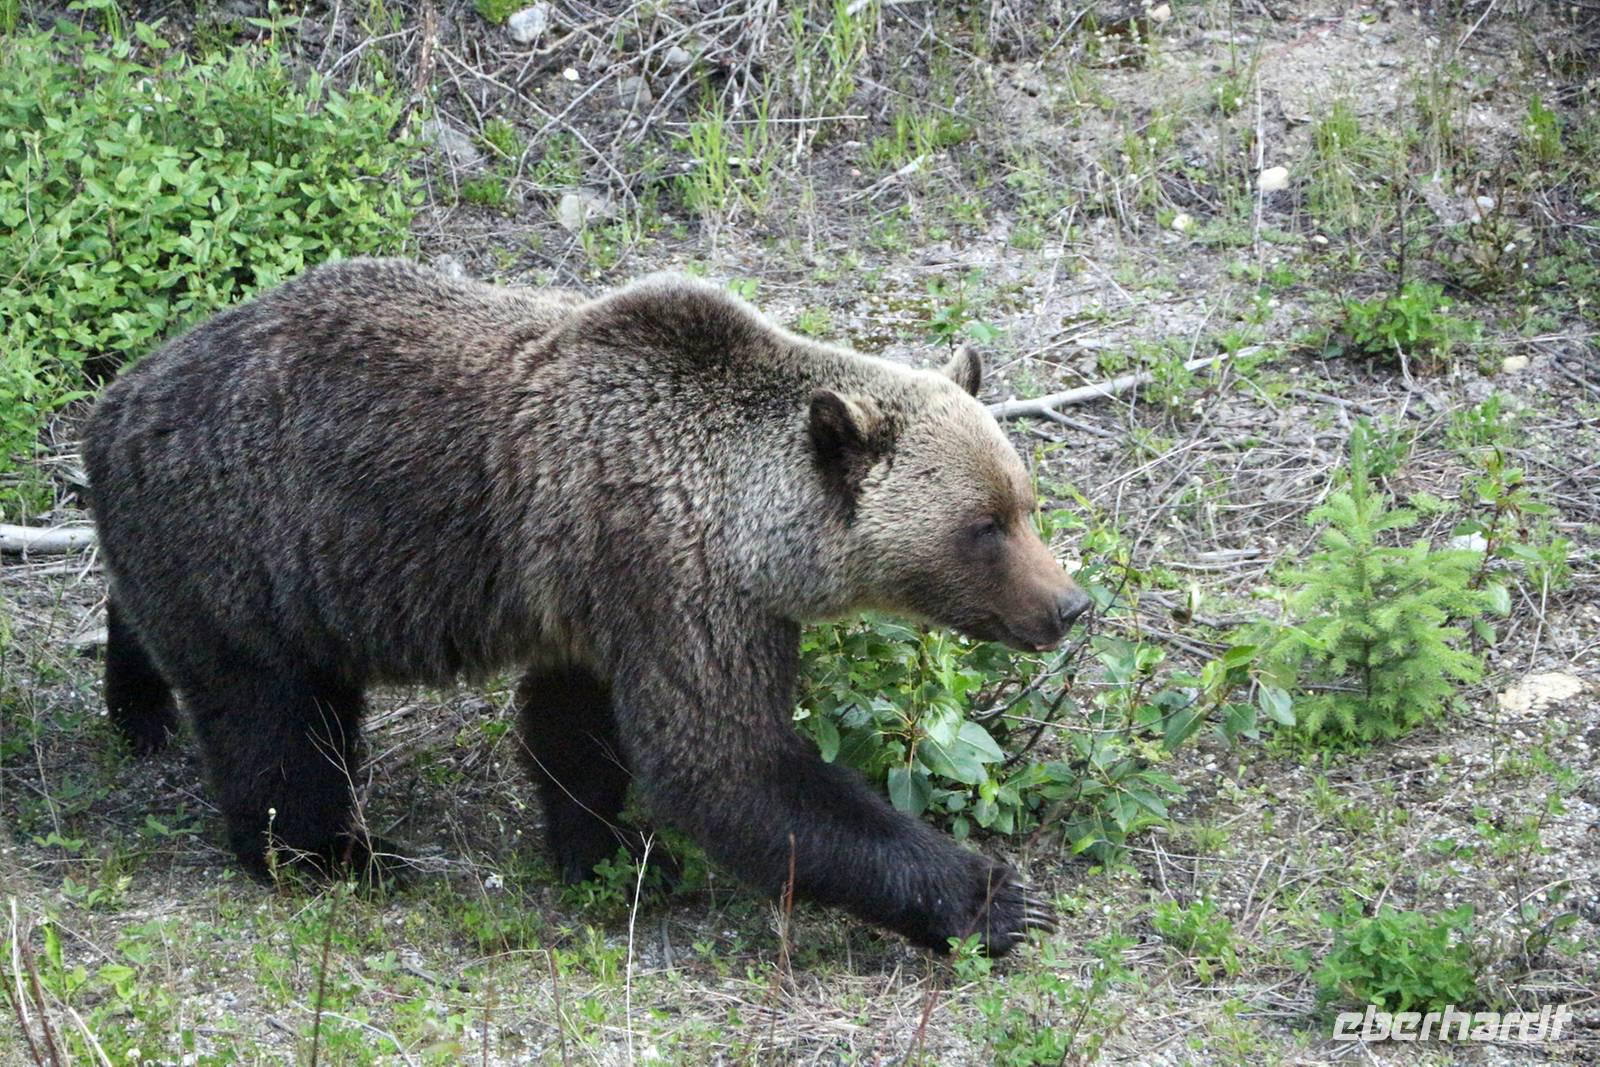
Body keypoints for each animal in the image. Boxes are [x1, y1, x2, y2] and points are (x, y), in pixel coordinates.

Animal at [82, 258, 1092, 956]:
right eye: (983, 525)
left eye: (1025, 502)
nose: (1070, 604)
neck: (752, 523)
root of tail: (116, 397)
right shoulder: (677, 577)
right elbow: (727, 762)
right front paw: (996, 899)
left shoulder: (595, 600)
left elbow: (576, 735)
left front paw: (608, 849)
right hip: (250, 543)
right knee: (275, 722)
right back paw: (339, 853)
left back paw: (138, 701)